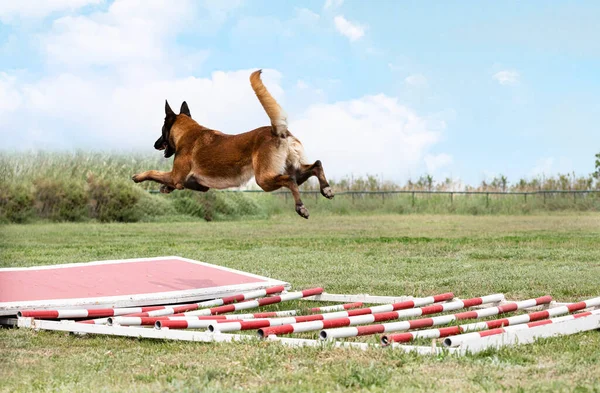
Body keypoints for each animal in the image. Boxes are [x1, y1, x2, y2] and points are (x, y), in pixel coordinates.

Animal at [132, 69, 336, 217]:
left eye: (162, 131)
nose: (155, 144)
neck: (188, 132)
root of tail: (277, 131)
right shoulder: (199, 185)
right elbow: (168, 180)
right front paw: (165, 187)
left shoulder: (176, 176)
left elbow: (154, 173)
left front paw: (138, 177)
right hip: (291, 168)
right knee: (314, 166)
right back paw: (326, 189)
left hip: (264, 179)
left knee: (291, 181)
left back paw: (301, 207)